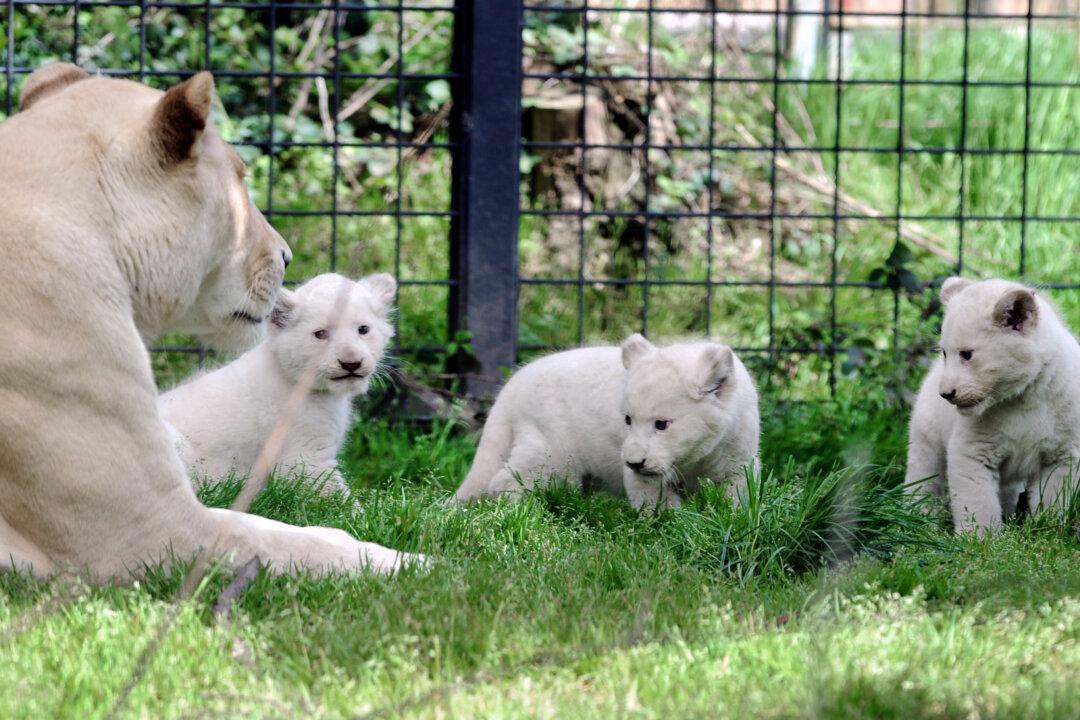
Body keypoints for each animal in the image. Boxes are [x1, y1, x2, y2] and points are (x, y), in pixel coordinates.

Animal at [0, 64, 423, 580]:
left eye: (364, 330)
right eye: (241, 175)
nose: (286, 255)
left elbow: (289, 526)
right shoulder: (150, 526)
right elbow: (306, 535)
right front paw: (420, 560)